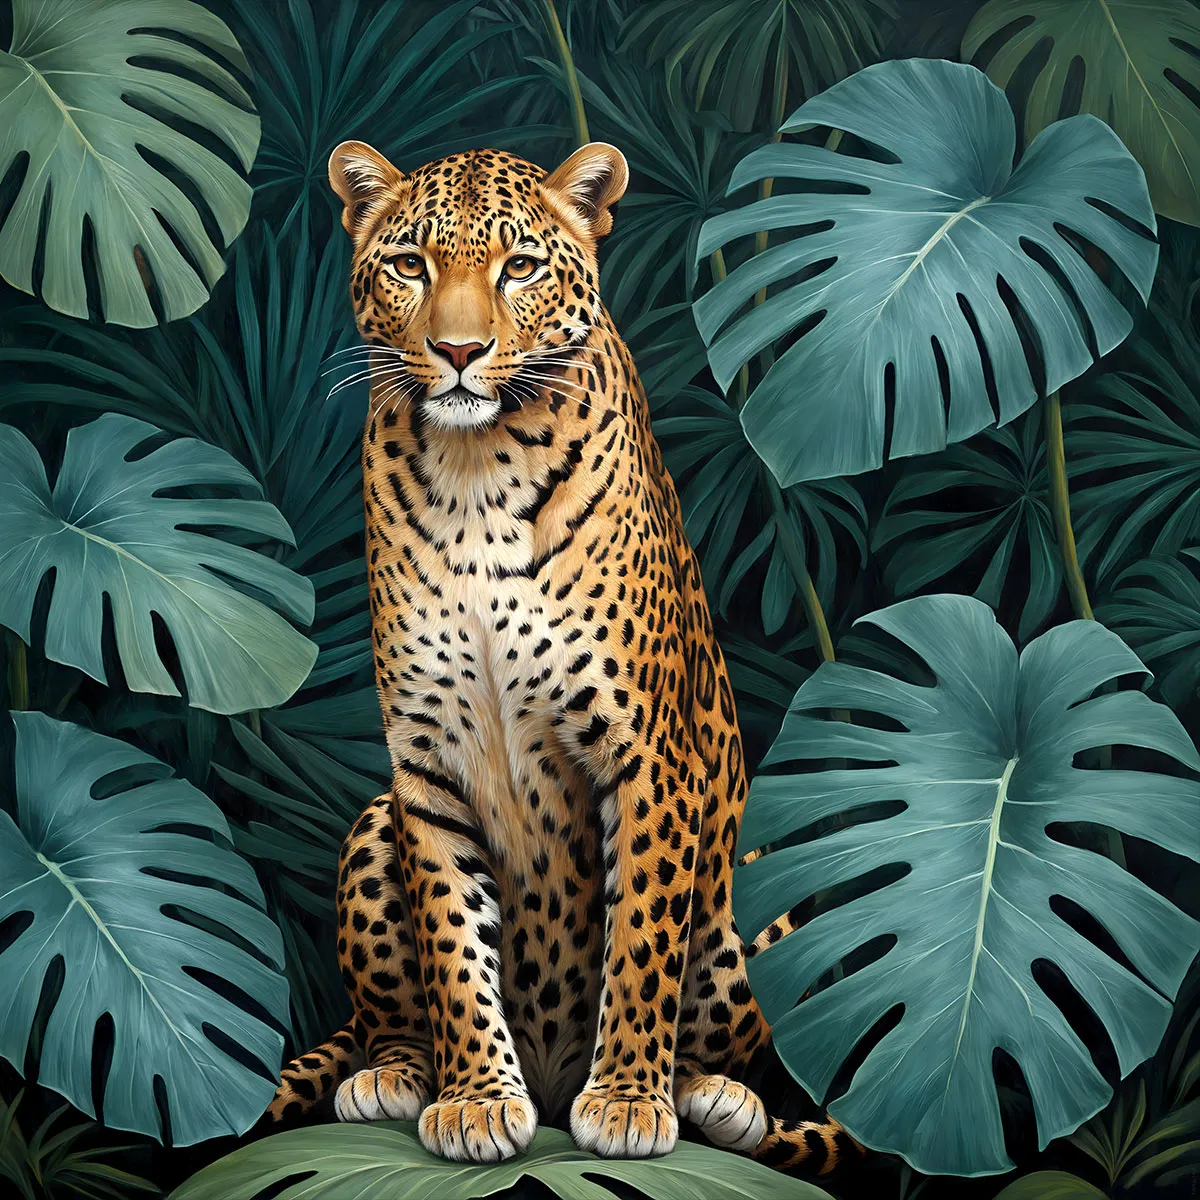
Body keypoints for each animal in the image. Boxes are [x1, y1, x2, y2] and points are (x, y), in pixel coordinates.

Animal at [264, 137, 856, 1174]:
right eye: (409, 265)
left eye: (521, 268)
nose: (459, 352)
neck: (475, 474)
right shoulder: (424, 766)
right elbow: (452, 940)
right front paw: (473, 1099)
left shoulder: (650, 754)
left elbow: (644, 937)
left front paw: (625, 1100)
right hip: (372, 818)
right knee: (384, 1018)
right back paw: (394, 1073)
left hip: (761, 883)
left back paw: (712, 1097)